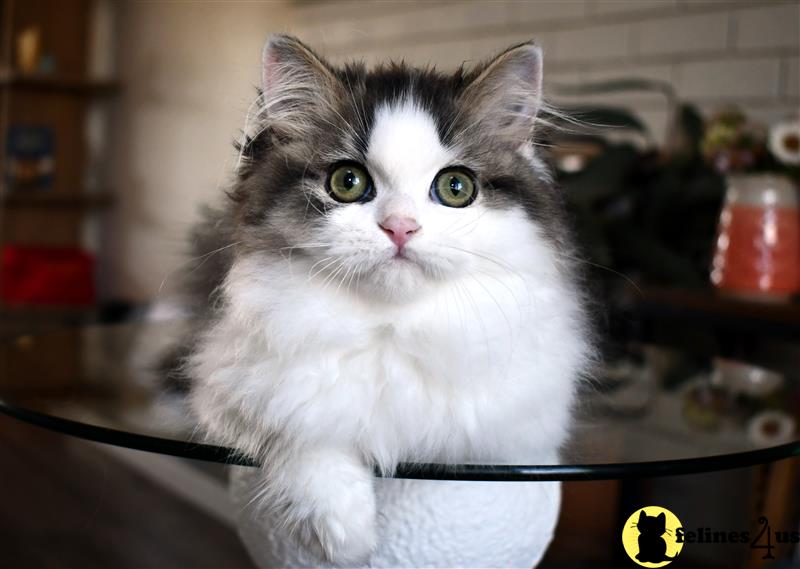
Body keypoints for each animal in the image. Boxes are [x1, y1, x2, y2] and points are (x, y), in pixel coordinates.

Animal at [183, 35, 592, 564]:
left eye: (455, 187)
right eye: (347, 182)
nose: (401, 227)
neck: (391, 326)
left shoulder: (516, 433)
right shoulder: (227, 386)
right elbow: (299, 430)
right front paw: (345, 536)